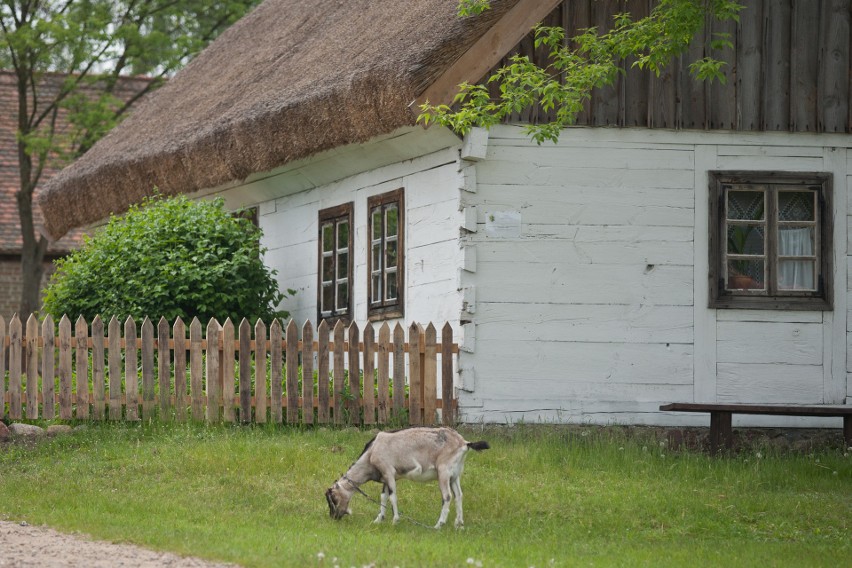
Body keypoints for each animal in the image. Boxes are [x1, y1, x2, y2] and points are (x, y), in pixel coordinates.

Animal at [324, 428, 490, 532]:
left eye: (333, 498)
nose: (334, 517)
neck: (371, 452)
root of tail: (464, 443)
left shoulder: (388, 471)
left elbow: (392, 496)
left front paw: (395, 521)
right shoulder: (385, 477)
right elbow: (383, 497)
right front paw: (379, 519)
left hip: (443, 472)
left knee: (447, 496)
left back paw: (438, 525)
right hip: (454, 475)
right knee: (459, 495)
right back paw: (459, 524)